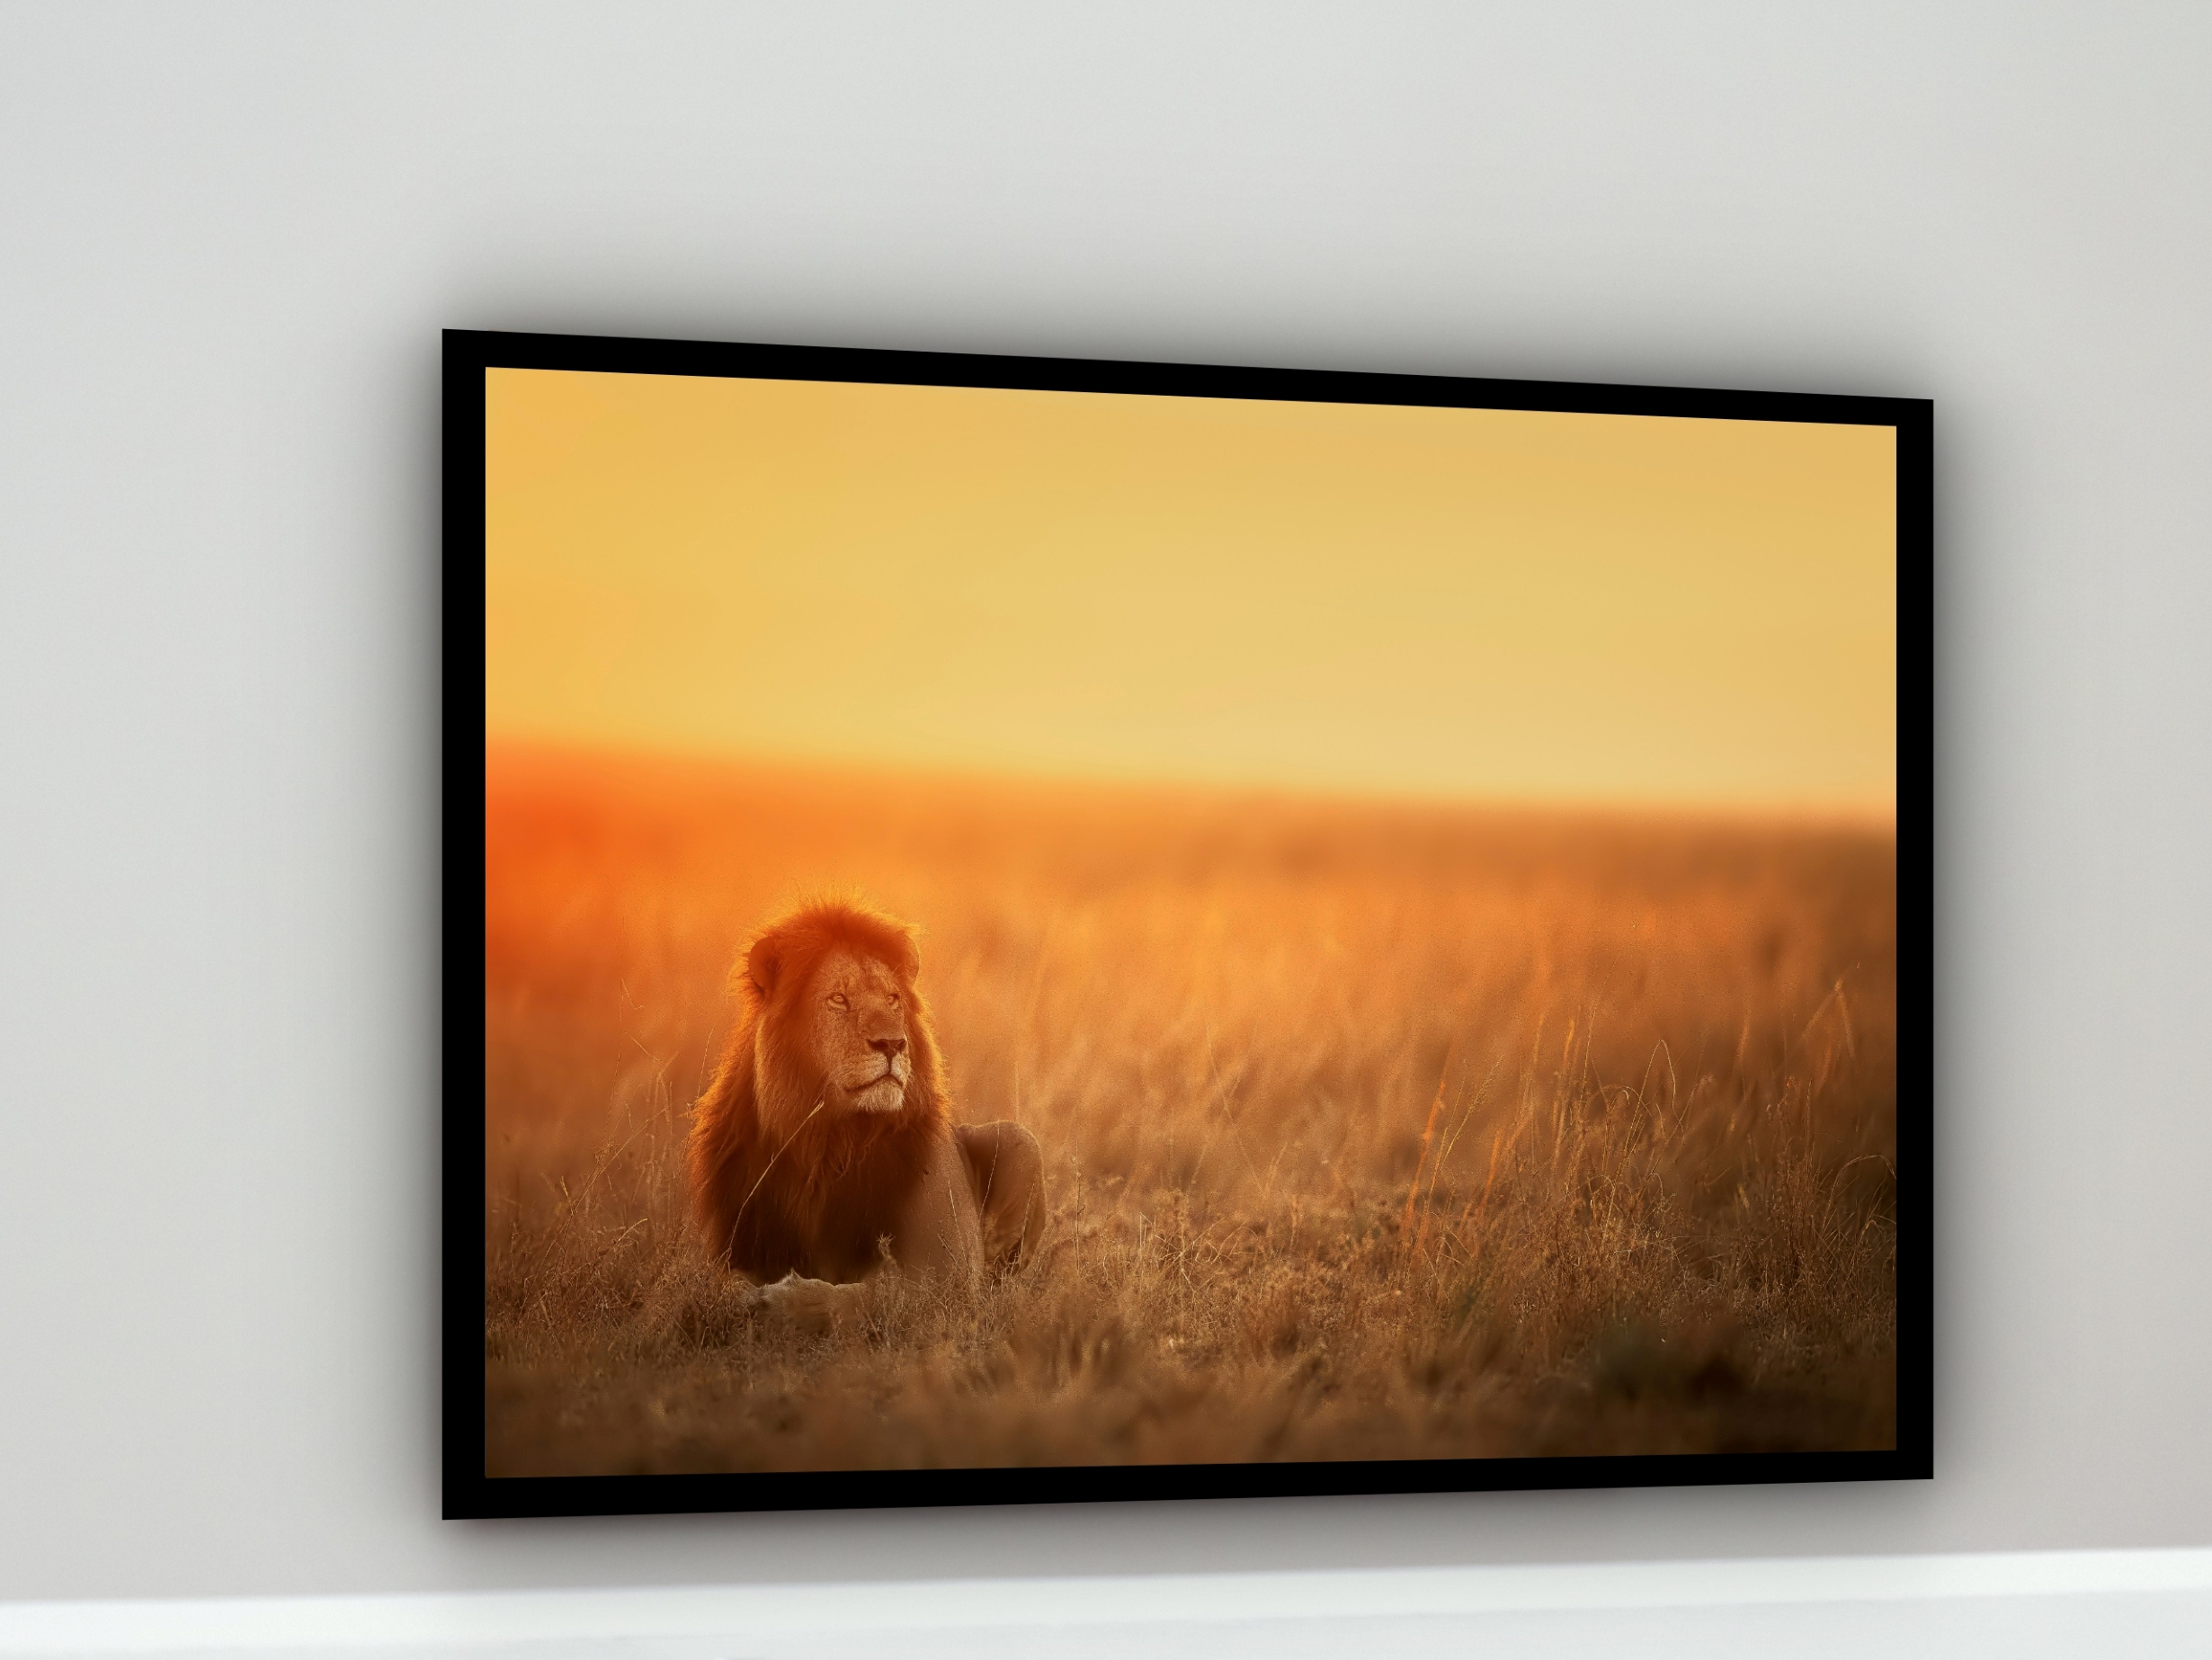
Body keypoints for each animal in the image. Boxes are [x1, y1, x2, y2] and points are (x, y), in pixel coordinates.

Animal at [686, 898, 1045, 1326]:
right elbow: (716, 1286)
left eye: (892, 999)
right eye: (839, 999)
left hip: (1020, 1141)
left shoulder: (947, 1278)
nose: (892, 1043)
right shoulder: (739, 1247)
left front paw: (781, 1302)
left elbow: (871, 1296)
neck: (828, 1142)